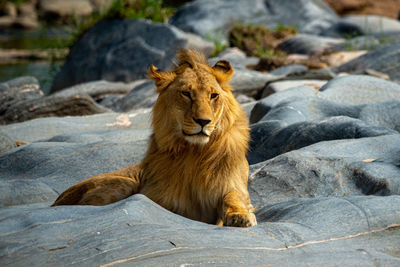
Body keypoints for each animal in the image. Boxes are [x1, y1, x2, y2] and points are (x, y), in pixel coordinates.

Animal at [52, 48, 256, 228]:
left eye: (213, 95)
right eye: (186, 94)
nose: (203, 121)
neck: (194, 152)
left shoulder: (233, 185)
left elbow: (234, 198)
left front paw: (240, 215)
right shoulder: (157, 195)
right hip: (124, 183)